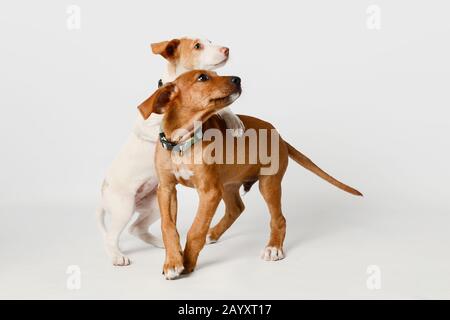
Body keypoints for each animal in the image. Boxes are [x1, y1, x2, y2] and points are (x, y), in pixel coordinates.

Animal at [96, 37, 243, 266]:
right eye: (197, 45)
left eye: (210, 40)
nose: (226, 49)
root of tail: (104, 190)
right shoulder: (148, 126)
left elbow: (221, 110)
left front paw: (233, 121)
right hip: (123, 207)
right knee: (112, 236)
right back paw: (117, 256)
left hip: (154, 204)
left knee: (136, 228)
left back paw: (160, 243)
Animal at [139, 70, 364, 280]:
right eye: (202, 77)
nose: (237, 79)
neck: (182, 143)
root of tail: (279, 136)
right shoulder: (166, 189)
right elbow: (168, 226)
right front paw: (173, 261)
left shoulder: (209, 192)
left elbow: (196, 230)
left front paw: (187, 262)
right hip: (227, 184)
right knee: (236, 209)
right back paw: (214, 233)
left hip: (268, 184)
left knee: (278, 219)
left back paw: (273, 247)